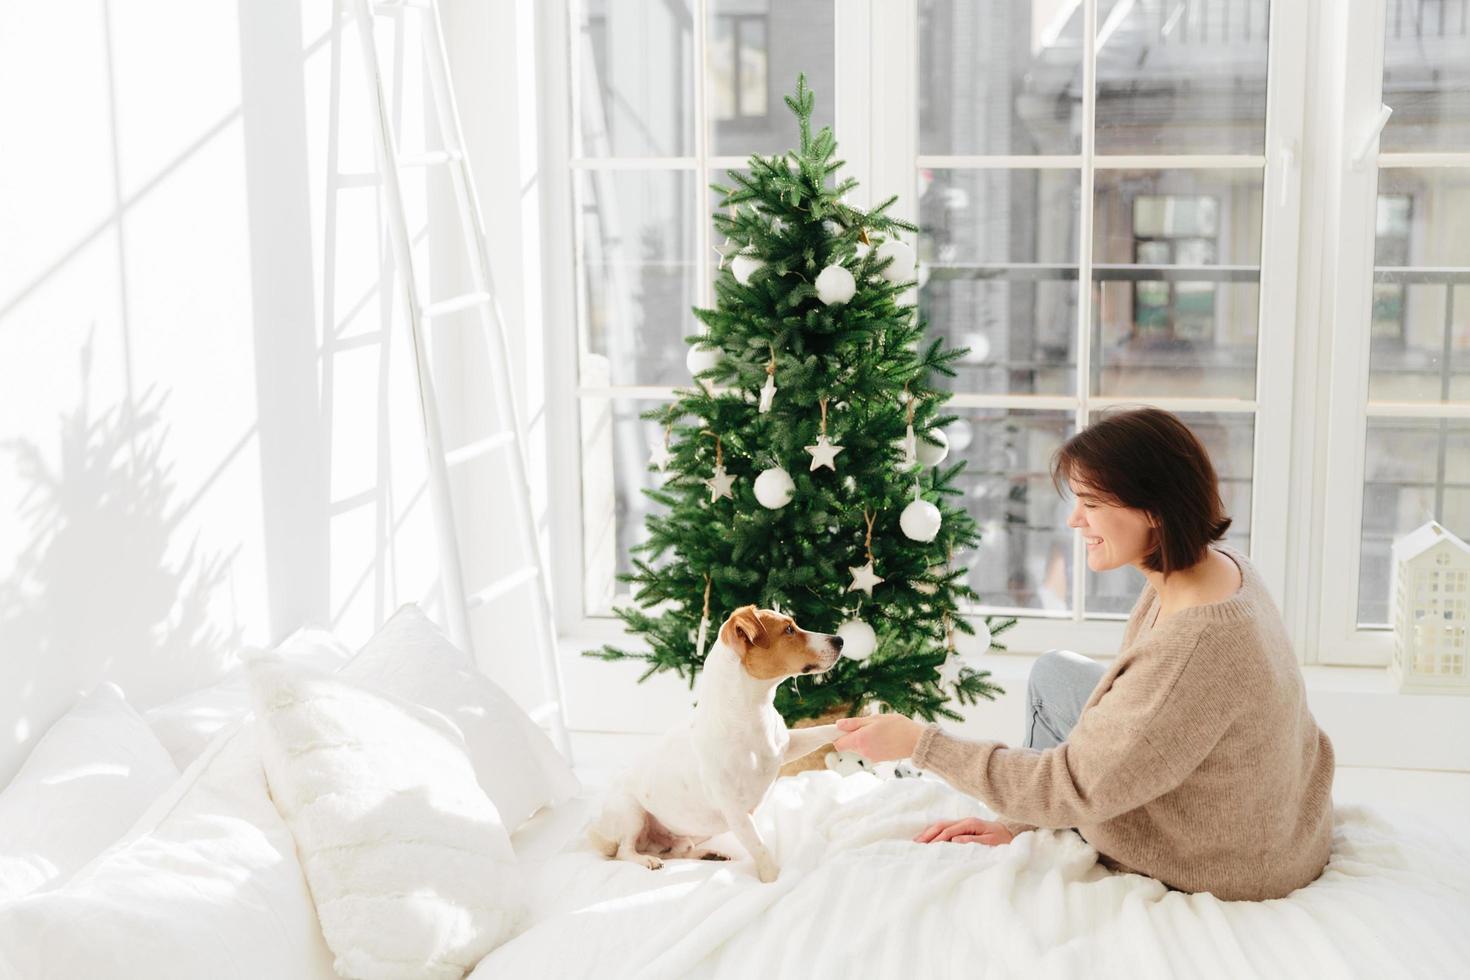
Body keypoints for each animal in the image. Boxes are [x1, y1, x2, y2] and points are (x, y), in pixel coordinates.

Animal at [582, 605, 840, 881]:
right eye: (789, 630)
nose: (840, 639)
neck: (752, 714)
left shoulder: (787, 746)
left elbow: (823, 731)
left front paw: (852, 725)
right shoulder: (737, 814)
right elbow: (761, 849)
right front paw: (775, 879)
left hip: (689, 833)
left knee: (678, 850)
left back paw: (707, 854)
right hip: (631, 812)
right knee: (624, 851)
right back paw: (647, 860)